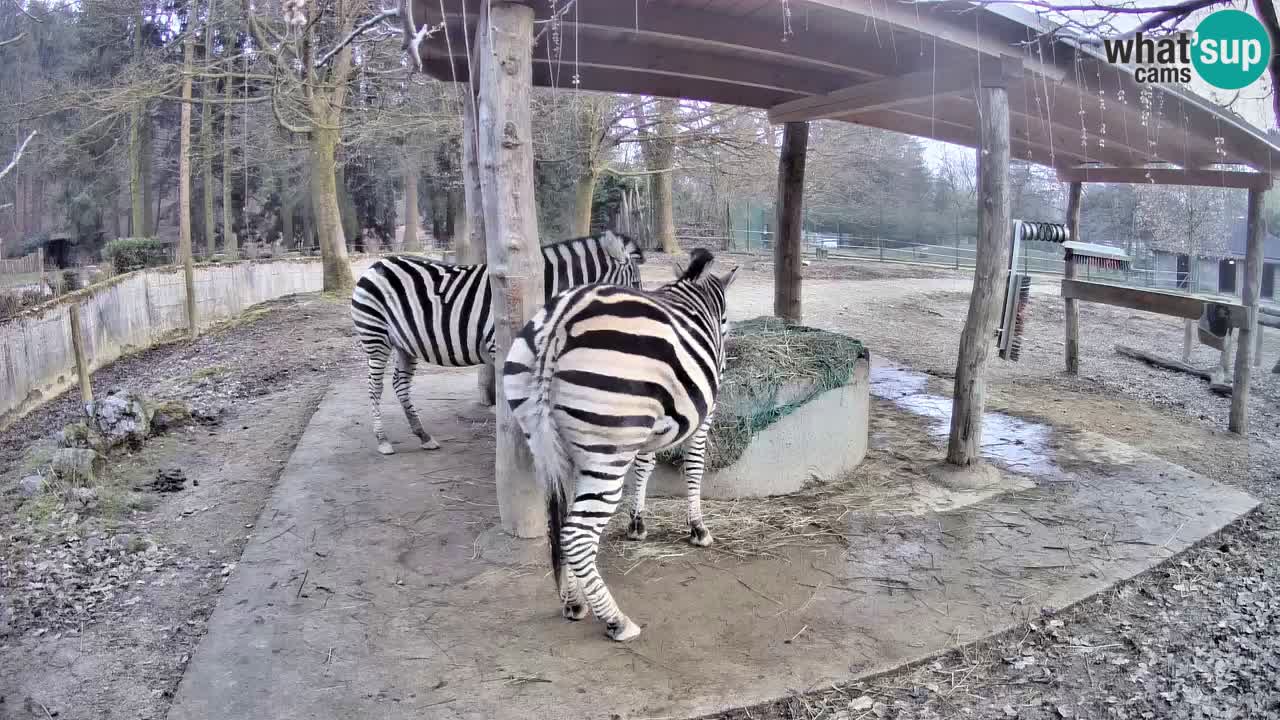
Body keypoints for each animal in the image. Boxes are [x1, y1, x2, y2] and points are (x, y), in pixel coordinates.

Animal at [350, 229, 645, 453]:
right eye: (635, 283)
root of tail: (378, 264)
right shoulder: (499, 345)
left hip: (405, 343)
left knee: (400, 384)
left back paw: (423, 435)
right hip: (375, 336)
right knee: (375, 387)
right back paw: (383, 440)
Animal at [501, 245, 742, 638]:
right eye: (725, 322)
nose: (723, 363)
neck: (691, 295)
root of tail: (560, 323)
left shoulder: (646, 428)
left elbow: (644, 467)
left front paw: (637, 524)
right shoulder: (702, 417)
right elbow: (694, 468)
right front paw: (698, 528)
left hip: (548, 443)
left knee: (559, 525)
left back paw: (574, 602)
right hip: (606, 451)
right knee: (577, 534)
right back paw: (616, 620)